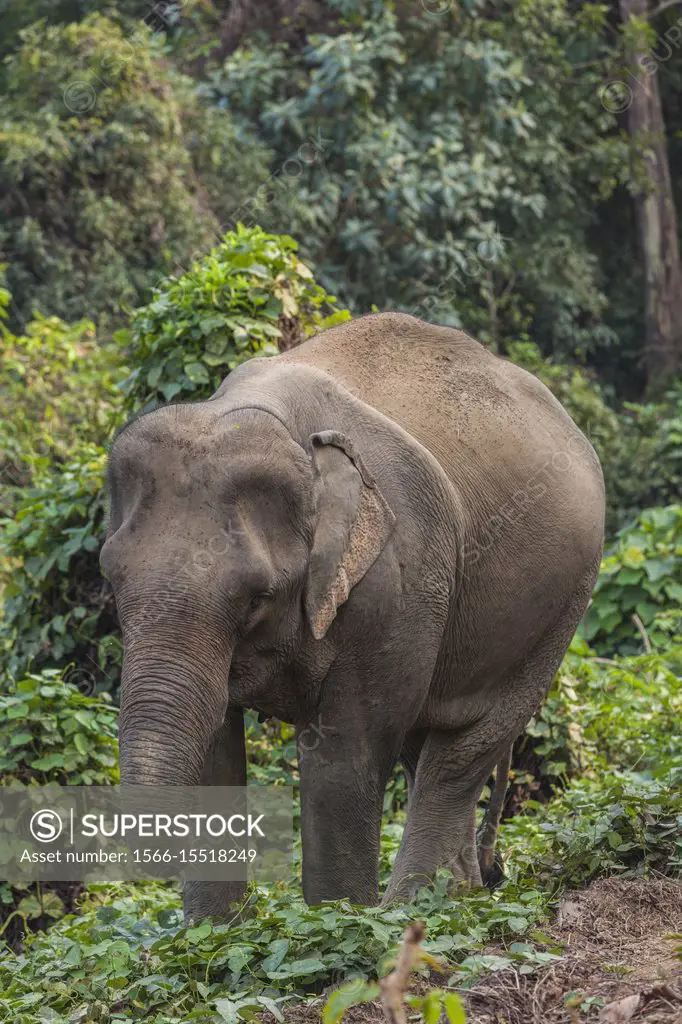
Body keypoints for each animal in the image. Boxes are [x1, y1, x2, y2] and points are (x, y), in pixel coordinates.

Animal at [99, 309, 602, 921]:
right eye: (110, 580)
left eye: (258, 597)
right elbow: (216, 745)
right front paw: (211, 934)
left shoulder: (396, 573)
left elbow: (346, 748)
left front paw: (336, 924)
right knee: (423, 742)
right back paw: (456, 894)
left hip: (563, 603)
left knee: (467, 744)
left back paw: (414, 907)